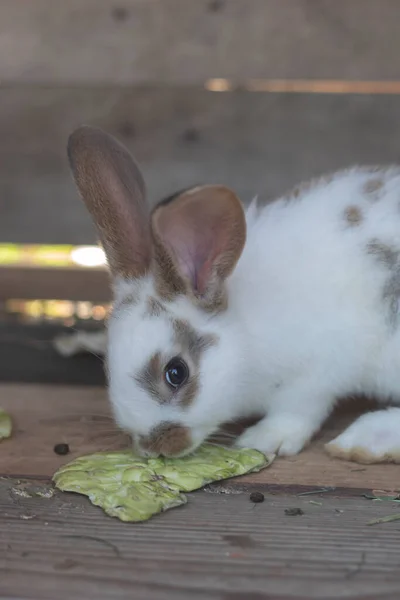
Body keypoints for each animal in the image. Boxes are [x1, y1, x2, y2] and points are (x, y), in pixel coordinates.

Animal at [67, 125, 400, 464]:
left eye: (176, 373)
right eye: (108, 367)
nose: (153, 447)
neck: (245, 333)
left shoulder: (317, 374)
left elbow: (297, 411)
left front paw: (264, 439)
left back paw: (364, 440)